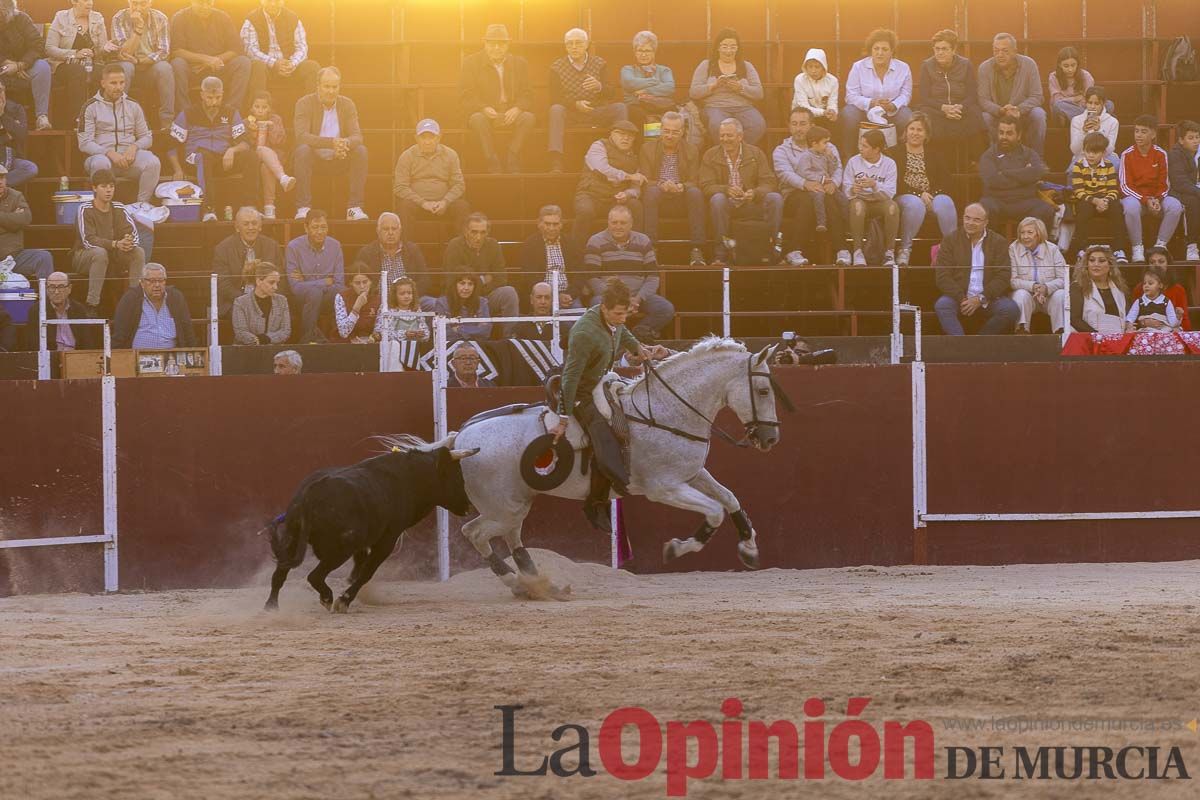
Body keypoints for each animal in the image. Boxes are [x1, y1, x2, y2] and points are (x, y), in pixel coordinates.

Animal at [265, 443, 475, 614]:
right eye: (458, 478)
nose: (469, 506)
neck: (410, 476)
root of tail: (313, 492)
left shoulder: (364, 544)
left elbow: (360, 566)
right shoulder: (387, 540)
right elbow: (367, 572)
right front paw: (344, 601)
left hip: (292, 539)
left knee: (279, 573)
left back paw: (271, 607)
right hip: (341, 548)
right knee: (314, 576)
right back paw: (328, 599)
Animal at [451, 335, 787, 597]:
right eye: (764, 391)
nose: (770, 438)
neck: (666, 410)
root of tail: (461, 438)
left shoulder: (692, 474)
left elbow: (730, 498)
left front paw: (749, 548)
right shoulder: (664, 488)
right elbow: (715, 510)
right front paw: (676, 548)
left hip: (515, 503)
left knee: (511, 538)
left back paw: (542, 587)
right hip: (502, 508)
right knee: (475, 533)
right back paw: (519, 584)